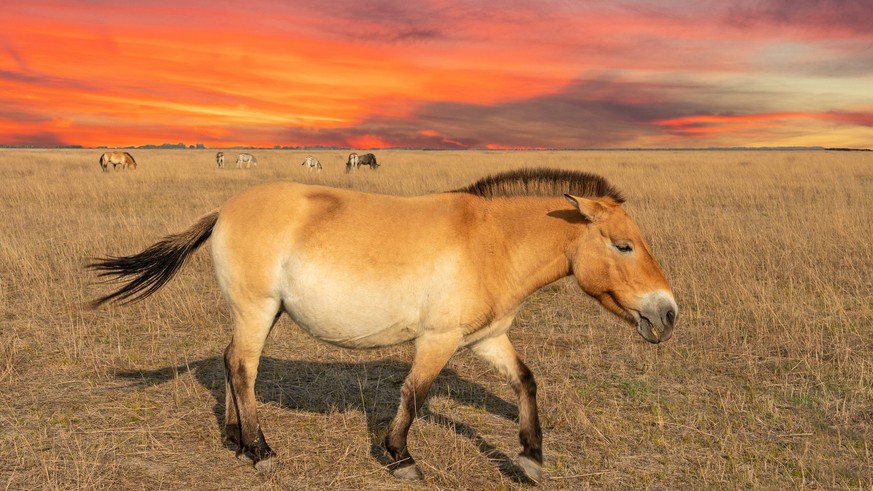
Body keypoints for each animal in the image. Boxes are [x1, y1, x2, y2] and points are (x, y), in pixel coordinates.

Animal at [87, 169, 676, 484]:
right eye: (623, 246)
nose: (668, 314)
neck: (492, 242)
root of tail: (225, 211)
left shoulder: (485, 338)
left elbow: (525, 381)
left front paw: (531, 459)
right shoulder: (438, 340)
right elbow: (414, 394)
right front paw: (401, 459)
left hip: (258, 313)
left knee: (231, 363)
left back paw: (236, 440)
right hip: (256, 310)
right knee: (242, 368)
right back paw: (260, 450)